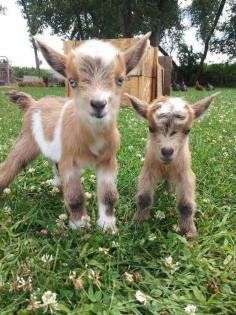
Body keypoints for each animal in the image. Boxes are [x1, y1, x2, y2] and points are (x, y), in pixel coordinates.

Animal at [0, 33, 150, 233]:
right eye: (72, 81)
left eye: (120, 80)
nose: (98, 104)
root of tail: (33, 103)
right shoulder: (69, 161)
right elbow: (75, 196)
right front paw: (80, 224)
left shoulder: (108, 160)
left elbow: (109, 194)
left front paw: (108, 225)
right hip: (26, 140)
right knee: (12, 164)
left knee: (53, 164)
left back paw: (57, 184)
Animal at [125, 92, 219, 238]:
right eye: (150, 128)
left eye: (188, 130)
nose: (167, 151)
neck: (166, 166)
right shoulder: (147, 171)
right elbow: (144, 198)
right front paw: (138, 223)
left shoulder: (185, 174)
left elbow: (185, 204)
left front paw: (189, 232)